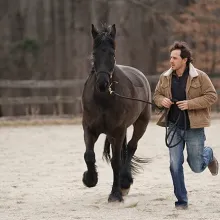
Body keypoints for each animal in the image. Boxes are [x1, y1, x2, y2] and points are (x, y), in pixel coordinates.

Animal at [81, 24, 152, 203]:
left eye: (112, 54)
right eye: (94, 54)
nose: (102, 84)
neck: (103, 99)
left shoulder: (117, 131)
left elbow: (116, 162)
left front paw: (115, 194)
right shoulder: (89, 129)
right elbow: (89, 155)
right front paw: (89, 179)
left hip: (141, 123)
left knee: (131, 147)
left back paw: (125, 181)